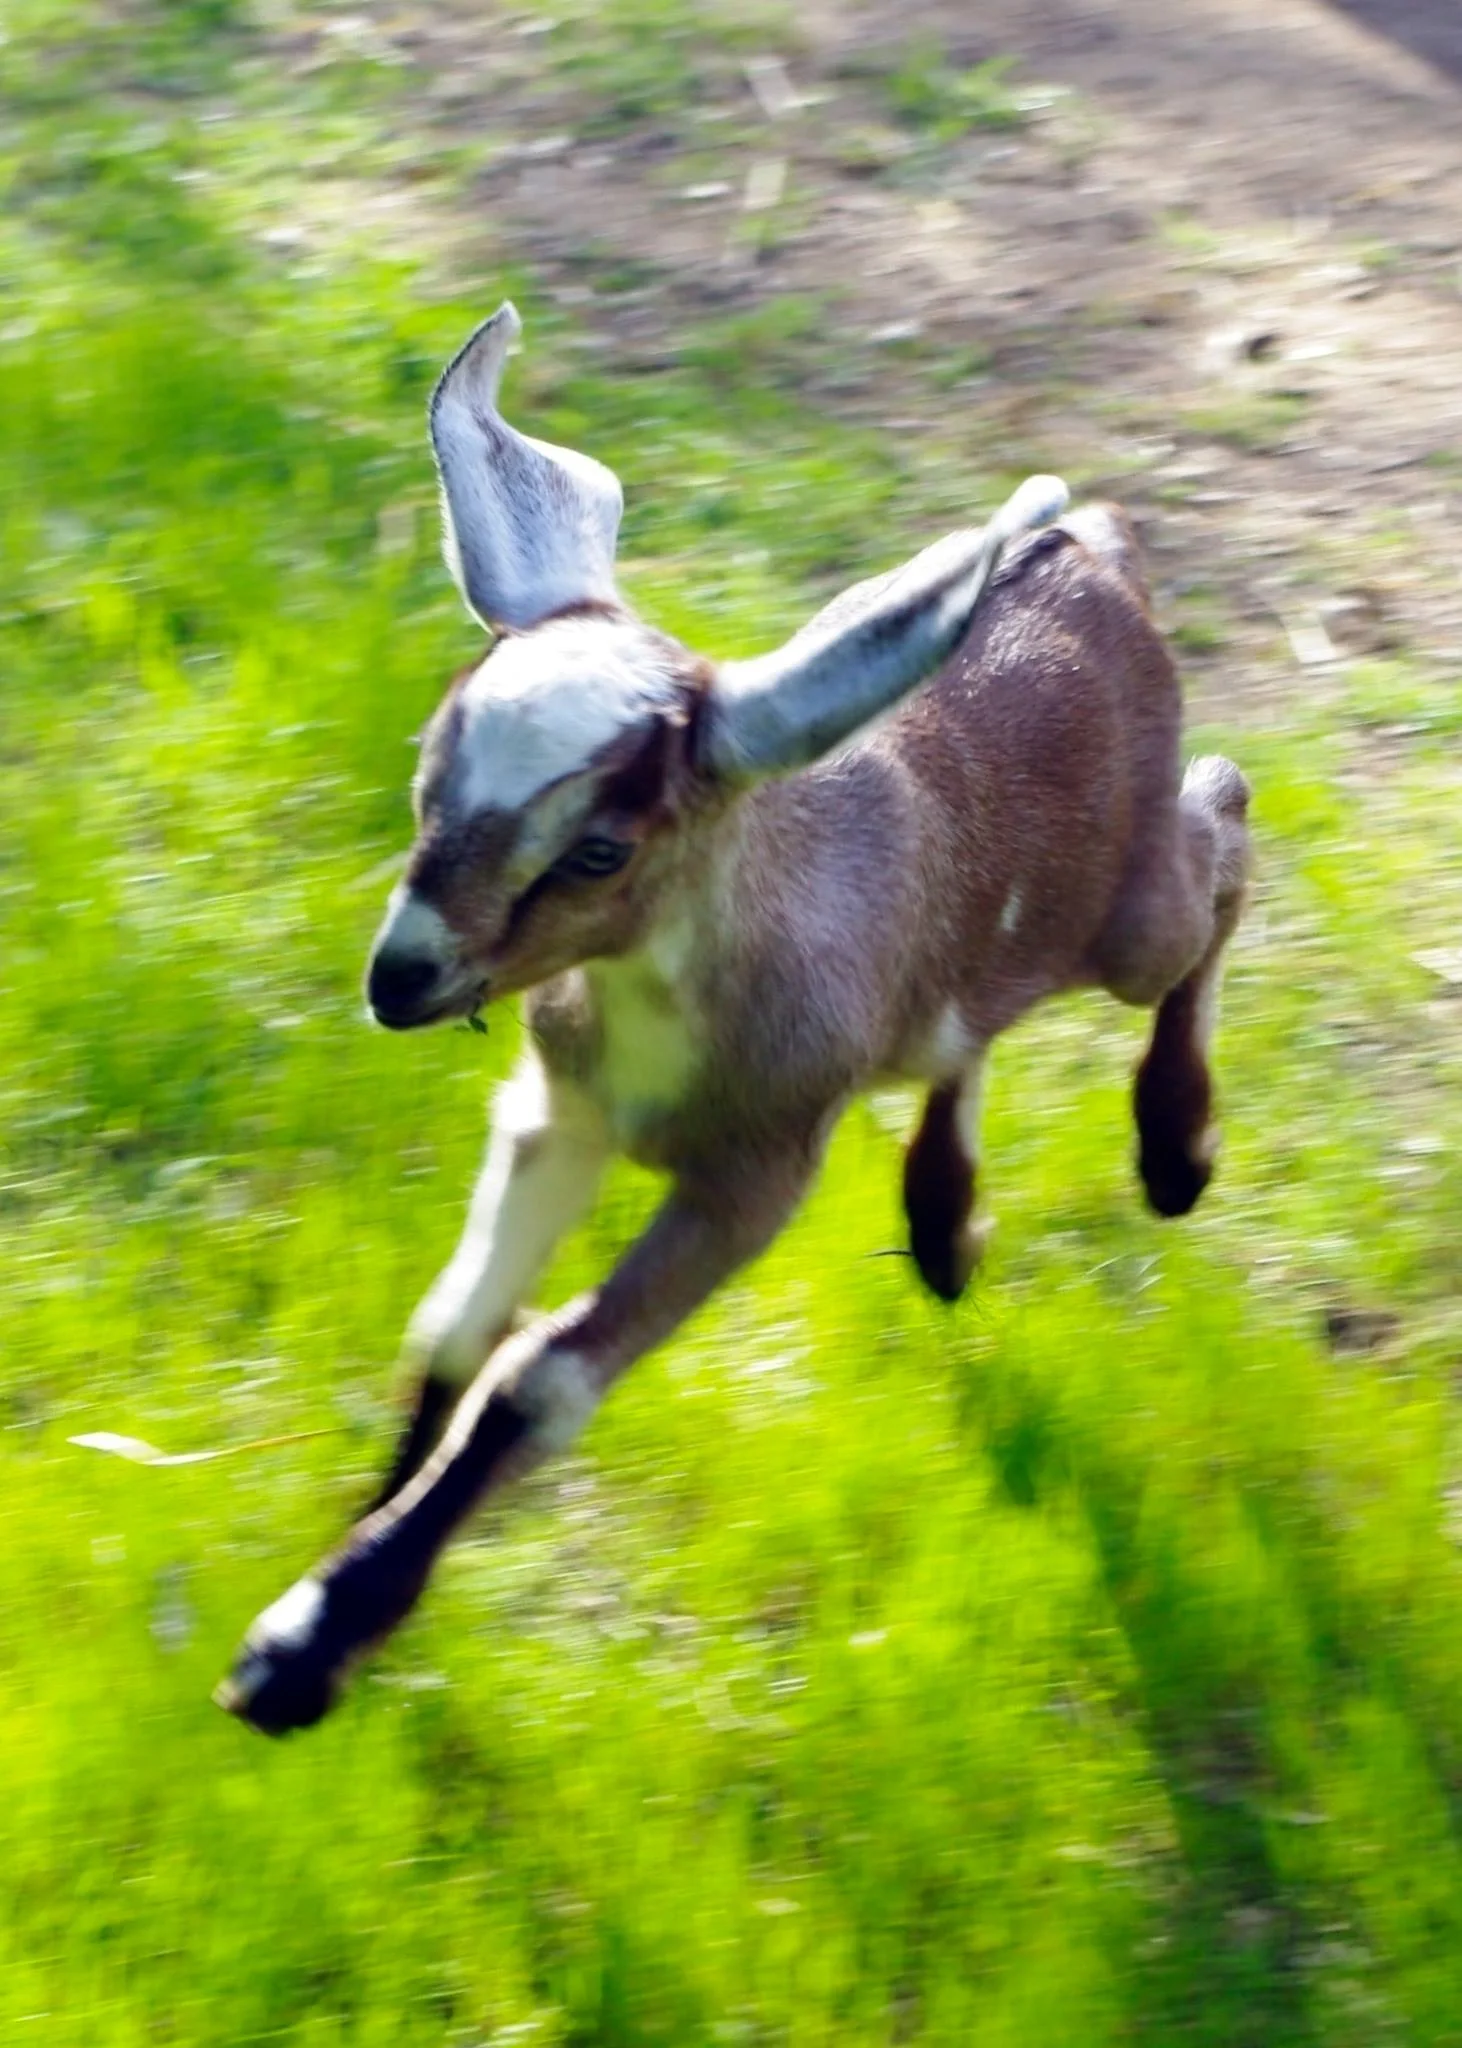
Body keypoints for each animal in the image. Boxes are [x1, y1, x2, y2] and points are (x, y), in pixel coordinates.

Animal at [216, 303, 1251, 1733]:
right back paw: (944, 1229)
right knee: (963, 1022)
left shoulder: (753, 1173)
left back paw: (1174, 1148)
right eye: (429, 765)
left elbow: (534, 1374)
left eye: (598, 848)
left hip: (1132, 913)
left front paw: (302, 1646)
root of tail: (1092, 551)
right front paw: (351, 1578)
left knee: (1225, 820)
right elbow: (456, 1328)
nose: (402, 977)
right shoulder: (559, 1110)